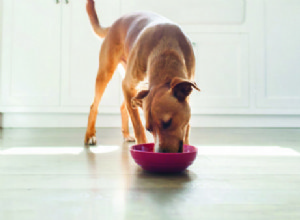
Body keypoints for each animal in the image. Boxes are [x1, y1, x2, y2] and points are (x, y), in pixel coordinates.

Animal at [84, 0, 200, 152]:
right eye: (149, 129)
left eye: (168, 122)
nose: (160, 153)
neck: (166, 51)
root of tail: (113, 25)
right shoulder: (128, 86)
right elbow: (138, 126)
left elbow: (187, 126)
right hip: (106, 73)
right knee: (95, 106)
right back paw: (90, 135)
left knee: (123, 107)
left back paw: (126, 134)